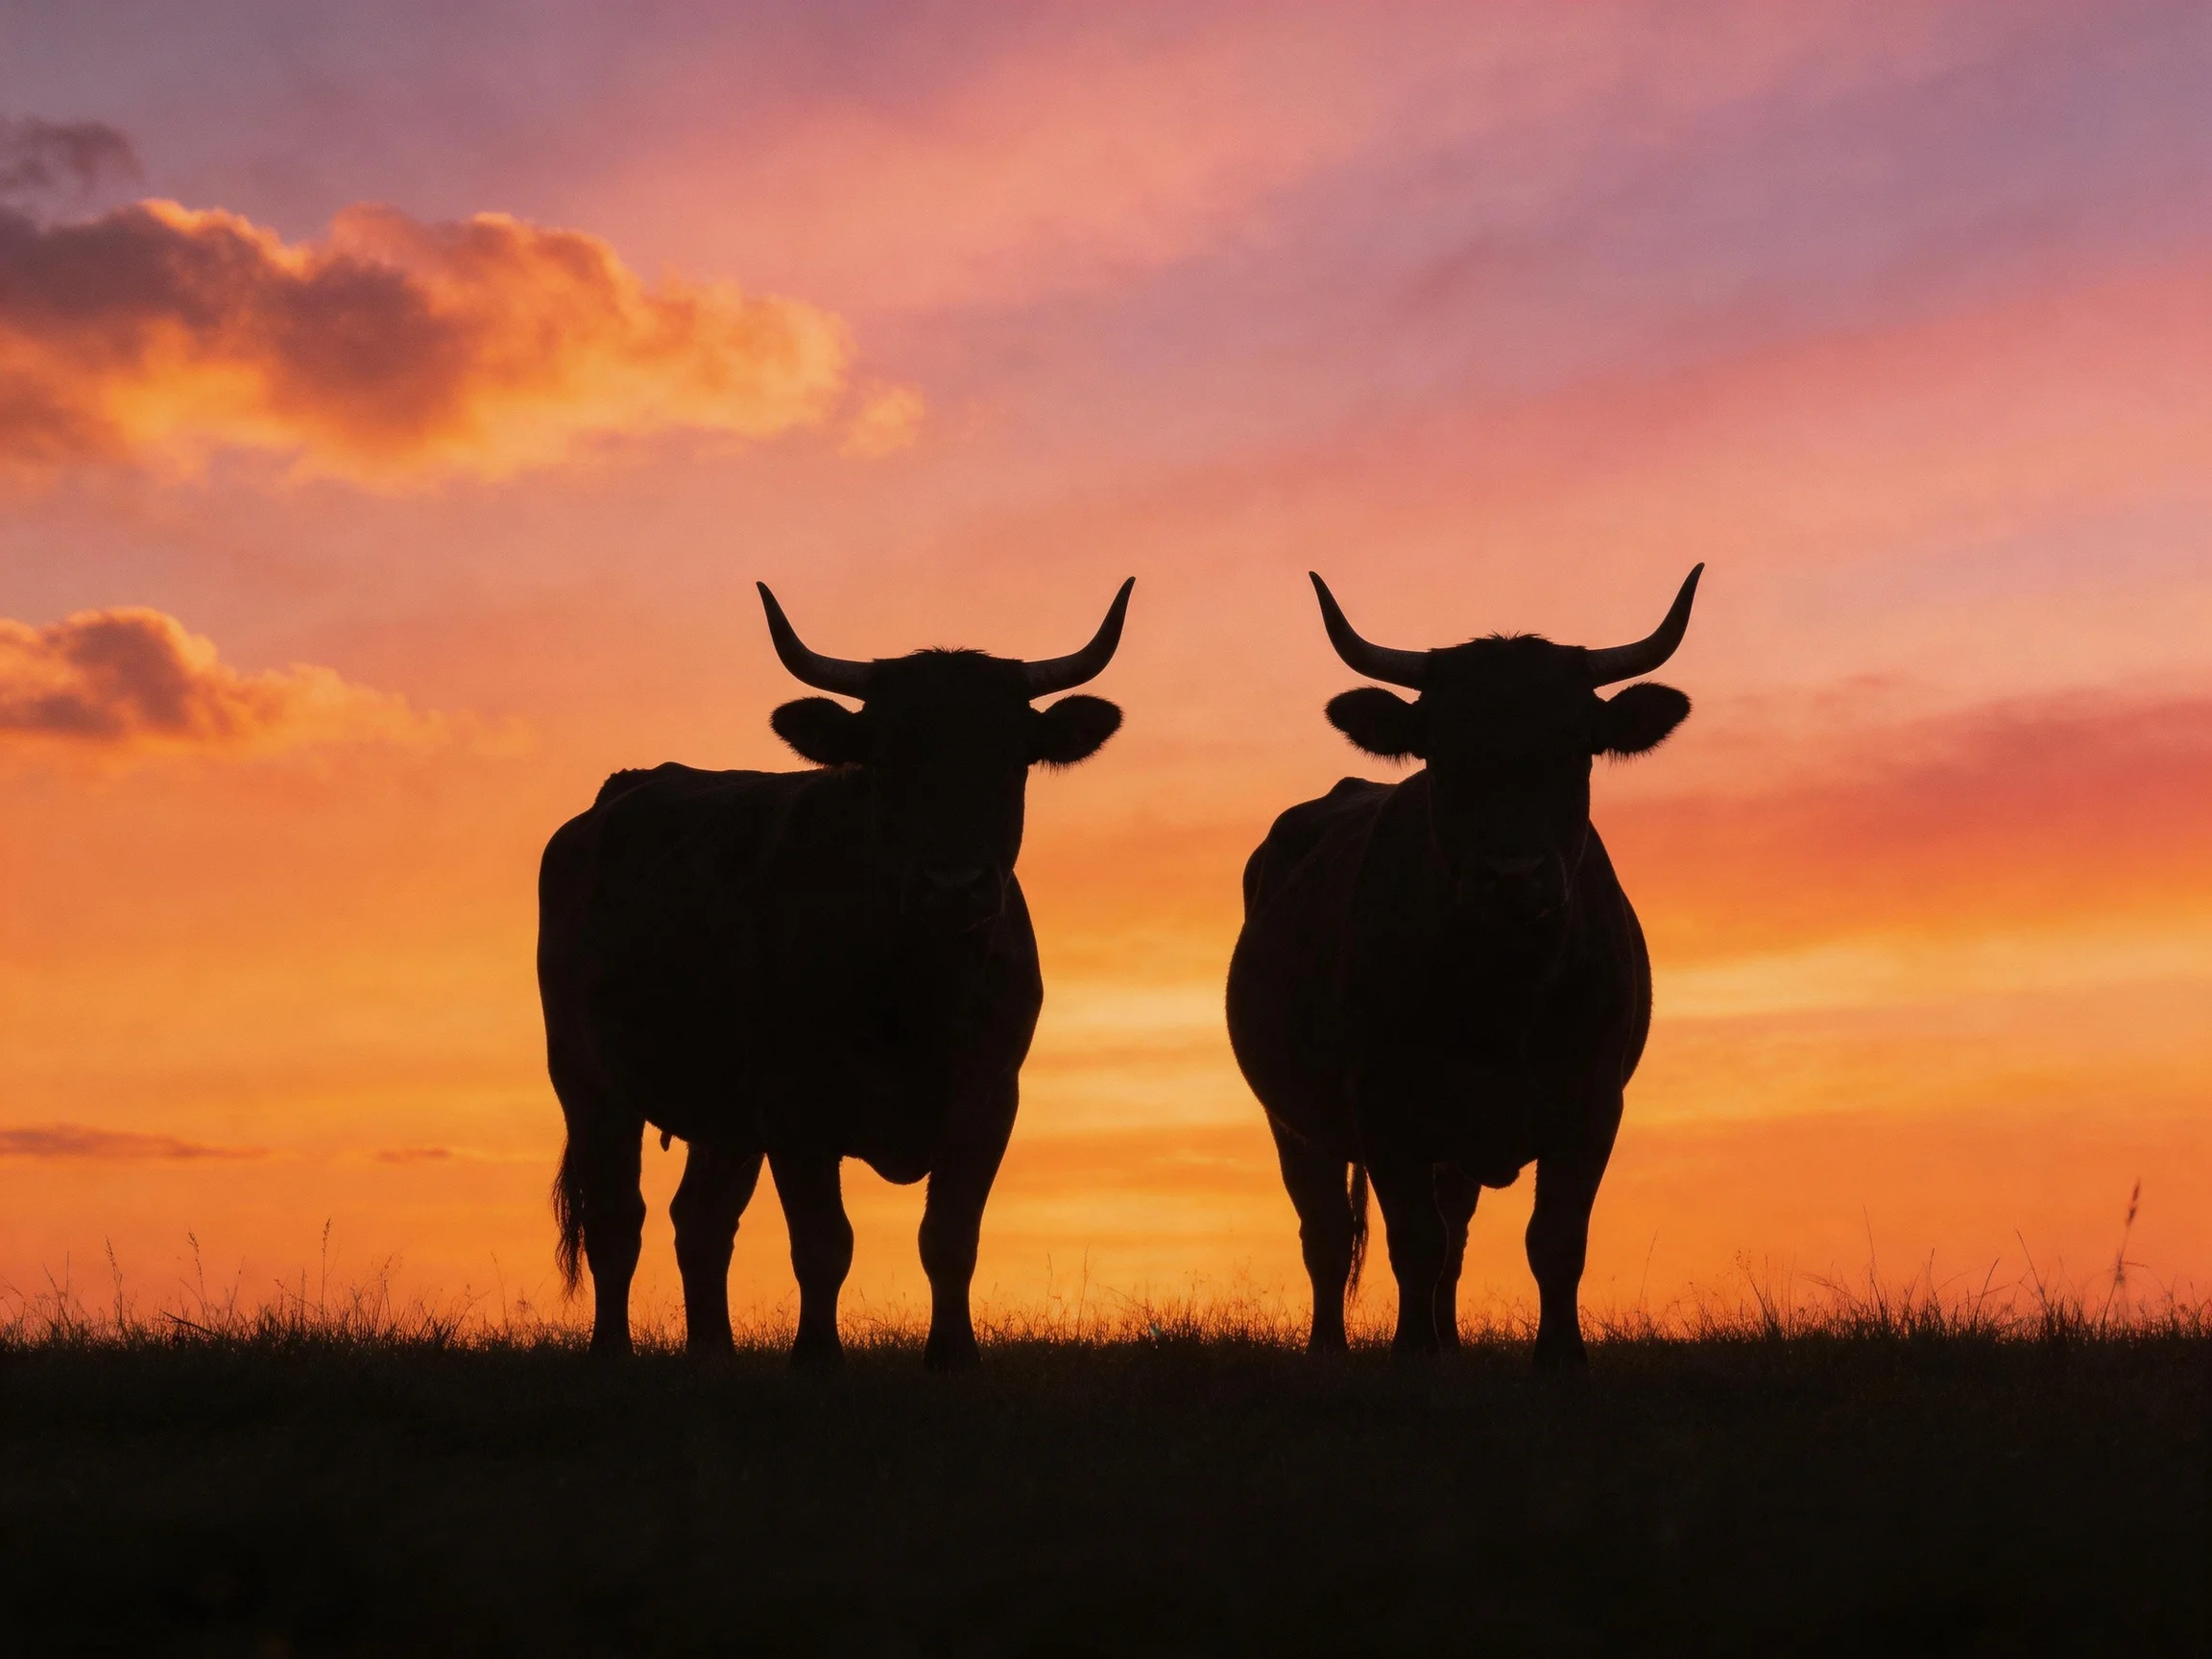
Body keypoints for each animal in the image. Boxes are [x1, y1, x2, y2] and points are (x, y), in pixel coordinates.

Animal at [537, 579, 1133, 1367]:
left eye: (1014, 759)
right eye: (883, 762)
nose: (954, 885)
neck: (916, 991)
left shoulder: (987, 1101)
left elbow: (950, 1240)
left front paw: (953, 1358)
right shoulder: (795, 1107)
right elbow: (823, 1245)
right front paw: (816, 1360)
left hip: (723, 1117)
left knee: (700, 1221)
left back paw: (715, 1355)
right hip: (586, 1079)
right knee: (616, 1219)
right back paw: (613, 1354)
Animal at [1225, 566, 1701, 1367]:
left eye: (1577, 746)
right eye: (1441, 750)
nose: (1511, 876)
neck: (1501, 995)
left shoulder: (1591, 1103)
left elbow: (1554, 1241)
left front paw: (1559, 1359)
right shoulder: (1386, 1109)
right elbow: (1413, 1243)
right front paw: (1413, 1357)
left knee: (1454, 1232)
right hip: (1292, 1121)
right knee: (1327, 1233)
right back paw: (1331, 1352)